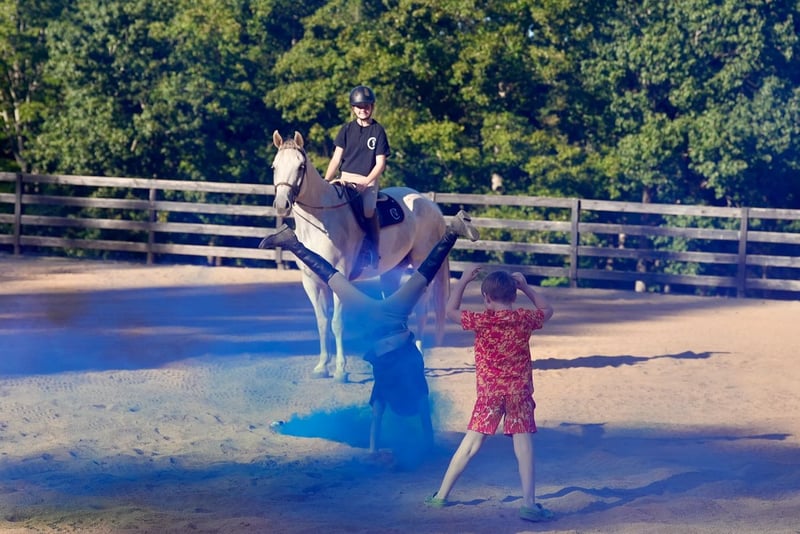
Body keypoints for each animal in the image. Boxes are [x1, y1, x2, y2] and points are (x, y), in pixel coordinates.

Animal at [269, 130, 449, 383]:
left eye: (301, 166)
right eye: (274, 166)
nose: (281, 204)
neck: (321, 221)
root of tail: (430, 204)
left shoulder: (339, 276)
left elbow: (337, 323)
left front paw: (340, 370)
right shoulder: (311, 281)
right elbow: (322, 322)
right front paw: (322, 366)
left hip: (422, 269)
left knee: (421, 313)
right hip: (392, 272)